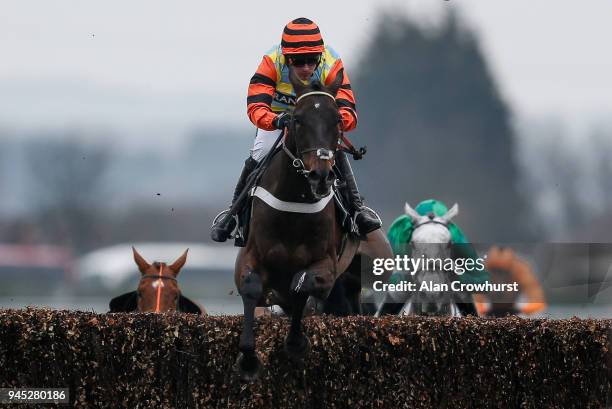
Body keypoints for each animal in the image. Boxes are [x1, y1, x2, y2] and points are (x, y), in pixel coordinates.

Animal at [232, 67, 394, 380]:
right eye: (297, 119)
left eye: (338, 120)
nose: (320, 176)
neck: (294, 204)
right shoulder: (249, 258)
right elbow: (251, 287)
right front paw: (248, 359)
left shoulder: (326, 266)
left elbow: (301, 285)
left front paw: (296, 343)